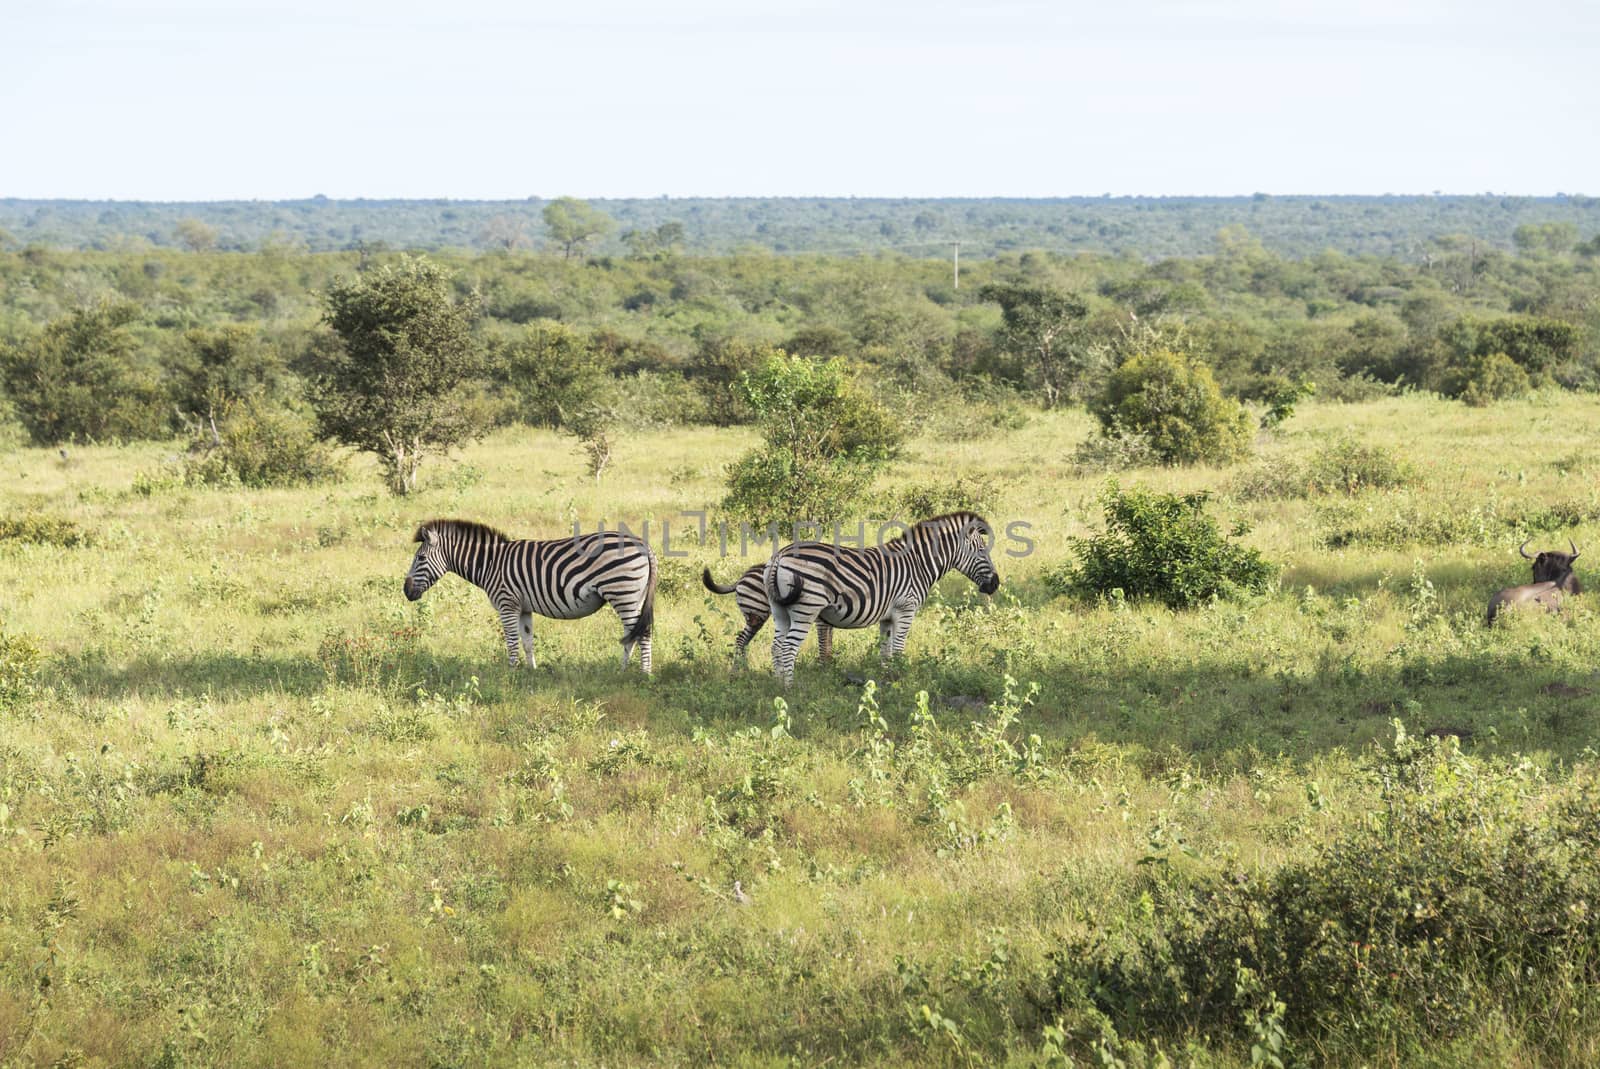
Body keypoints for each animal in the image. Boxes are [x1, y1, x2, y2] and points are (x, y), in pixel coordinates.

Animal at [403, 518, 659, 675]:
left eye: (421, 559)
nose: (406, 592)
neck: (490, 564)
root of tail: (643, 544)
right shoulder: (524, 608)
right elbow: (527, 642)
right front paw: (531, 672)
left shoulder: (507, 604)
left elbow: (511, 642)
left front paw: (511, 673)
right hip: (632, 597)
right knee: (631, 635)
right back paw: (621, 671)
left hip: (623, 592)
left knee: (642, 634)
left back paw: (644, 675)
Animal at [700, 563, 832, 662]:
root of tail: (743, 576)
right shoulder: (819, 619)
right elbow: (823, 642)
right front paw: (823, 666)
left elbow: (828, 641)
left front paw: (830, 662)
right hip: (757, 612)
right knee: (742, 640)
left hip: (755, 616)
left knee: (742, 640)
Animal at [761, 512, 998, 684]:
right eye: (982, 551)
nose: (996, 584)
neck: (918, 563)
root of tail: (780, 555)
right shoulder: (906, 609)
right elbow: (898, 650)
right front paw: (901, 682)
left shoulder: (887, 617)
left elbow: (885, 651)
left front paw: (888, 680)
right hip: (806, 608)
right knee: (788, 648)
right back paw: (791, 689)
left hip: (779, 610)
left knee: (776, 647)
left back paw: (777, 686)